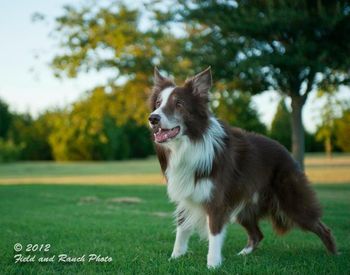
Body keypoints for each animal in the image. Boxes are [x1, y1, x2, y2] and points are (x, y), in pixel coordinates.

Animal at [147, 67, 336, 270]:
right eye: (158, 103)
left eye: (179, 103)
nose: (152, 118)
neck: (189, 143)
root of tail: (286, 151)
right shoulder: (187, 193)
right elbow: (181, 228)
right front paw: (175, 257)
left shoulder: (217, 201)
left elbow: (214, 233)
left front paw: (213, 264)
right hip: (243, 207)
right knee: (257, 234)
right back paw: (244, 254)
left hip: (291, 201)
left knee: (322, 227)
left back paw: (334, 255)